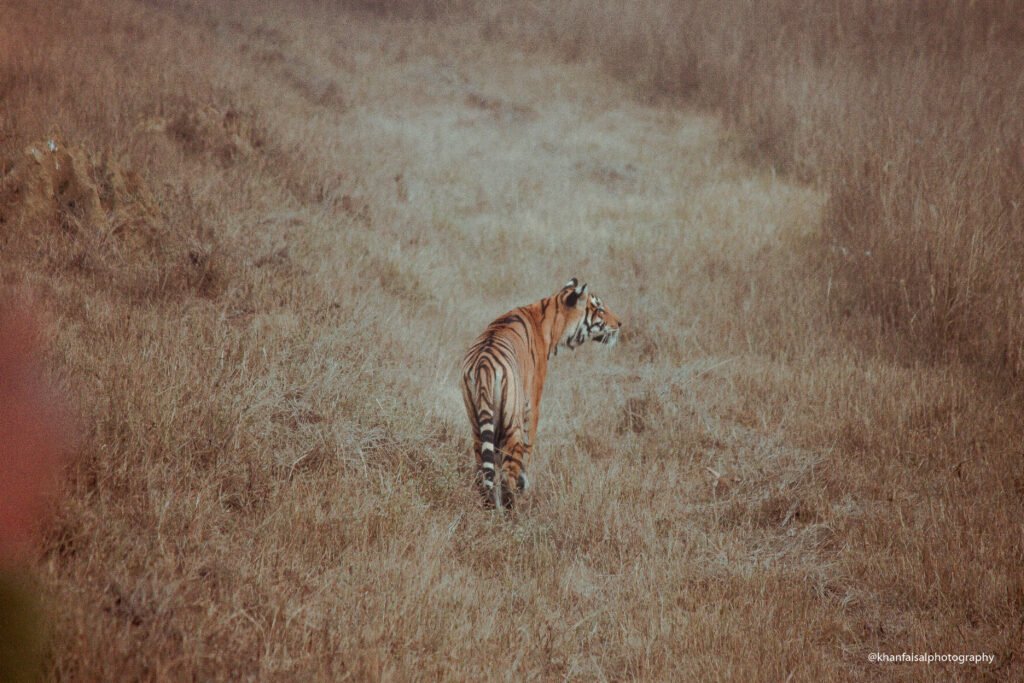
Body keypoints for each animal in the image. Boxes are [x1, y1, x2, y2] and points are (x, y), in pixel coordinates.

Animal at [460, 278, 622, 507]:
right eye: (599, 309)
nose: (620, 323)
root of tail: (484, 364)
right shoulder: (533, 402)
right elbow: (529, 447)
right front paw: (524, 483)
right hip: (512, 421)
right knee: (508, 472)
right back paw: (513, 506)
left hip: (476, 422)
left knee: (483, 469)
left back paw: (491, 507)